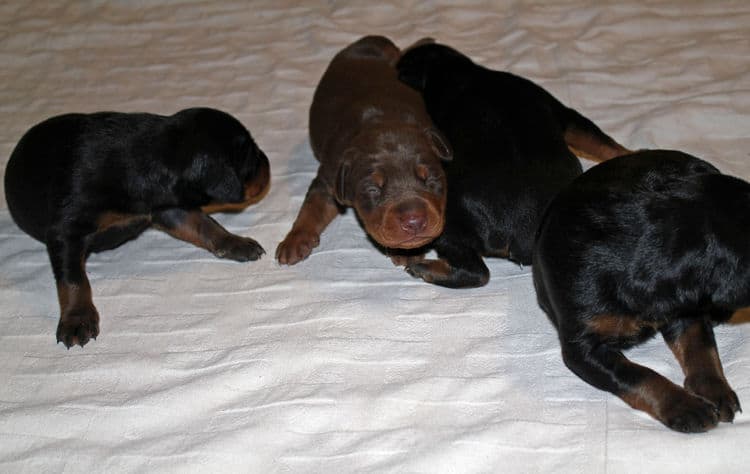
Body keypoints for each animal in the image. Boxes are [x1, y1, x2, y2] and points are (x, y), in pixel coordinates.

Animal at [2, 107, 274, 348]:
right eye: (251, 158)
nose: (268, 162)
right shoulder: (65, 230)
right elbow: (73, 278)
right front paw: (77, 318)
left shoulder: (169, 208)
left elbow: (205, 225)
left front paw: (236, 242)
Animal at [276, 36, 452, 266]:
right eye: (372, 189)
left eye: (430, 179)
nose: (414, 222)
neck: (382, 122)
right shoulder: (329, 179)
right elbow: (312, 207)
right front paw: (294, 240)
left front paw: (407, 252)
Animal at [396, 40, 632, 286]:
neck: (454, 71)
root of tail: (515, 235)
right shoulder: (561, 112)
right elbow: (603, 144)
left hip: (444, 219)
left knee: (476, 272)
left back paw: (423, 267)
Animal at [536, 150, 748, 432]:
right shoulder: (582, 347)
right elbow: (636, 373)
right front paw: (685, 407)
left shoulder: (685, 309)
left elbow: (701, 348)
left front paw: (716, 390)